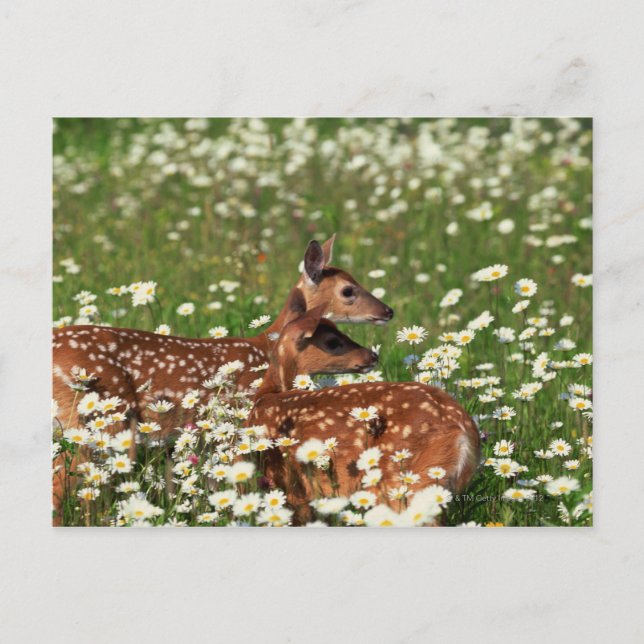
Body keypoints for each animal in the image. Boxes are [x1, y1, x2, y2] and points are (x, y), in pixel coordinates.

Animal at [247, 305, 481, 524]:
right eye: (332, 341)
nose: (373, 355)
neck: (266, 396)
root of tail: (465, 429)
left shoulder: (291, 488)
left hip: (407, 479)